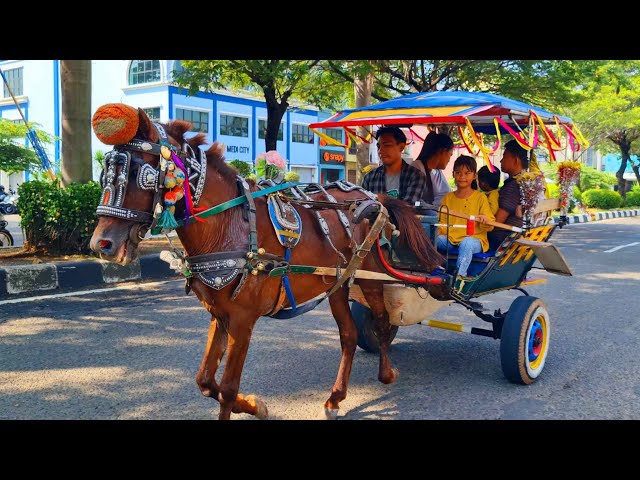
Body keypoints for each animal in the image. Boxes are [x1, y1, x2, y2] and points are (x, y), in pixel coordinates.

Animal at [89, 107, 444, 418]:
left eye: (140, 174)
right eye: (105, 173)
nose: (101, 244)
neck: (227, 225)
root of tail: (373, 198)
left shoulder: (243, 319)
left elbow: (228, 389)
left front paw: (249, 404)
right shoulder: (220, 314)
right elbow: (205, 381)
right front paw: (256, 406)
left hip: (371, 275)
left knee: (382, 321)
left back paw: (386, 373)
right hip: (339, 283)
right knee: (349, 335)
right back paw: (335, 397)